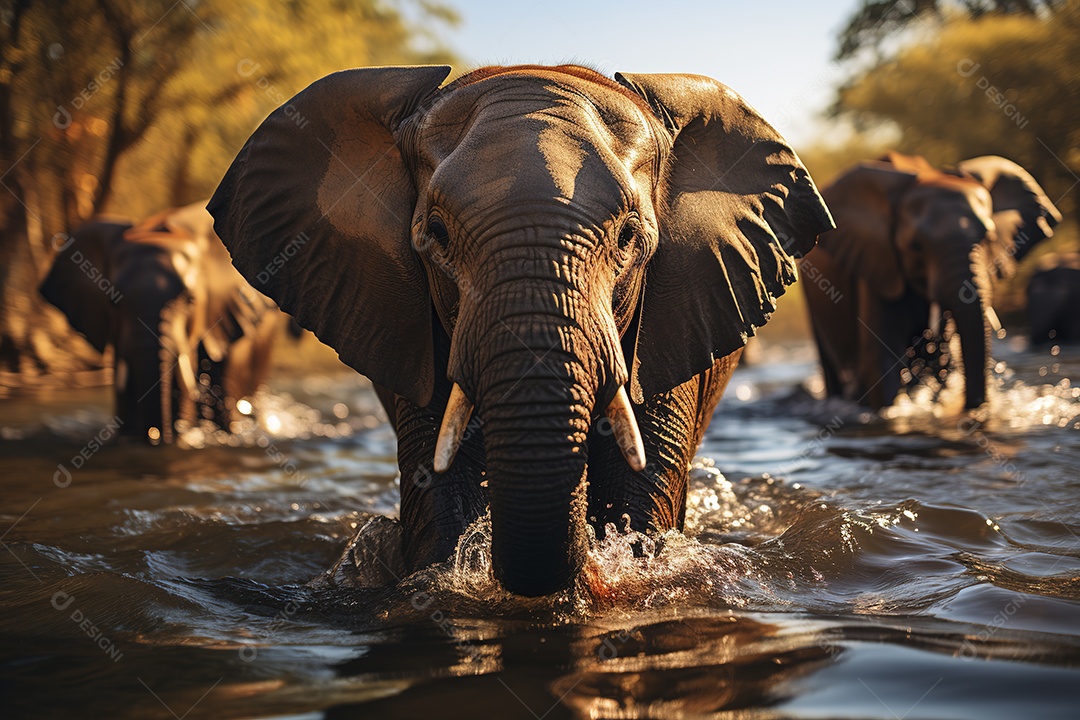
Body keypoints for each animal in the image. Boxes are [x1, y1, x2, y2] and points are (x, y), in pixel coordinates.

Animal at [803, 152, 1062, 410]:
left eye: (989, 238)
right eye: (915, 246)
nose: (971, 408)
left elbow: (945, 357)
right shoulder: (879, 266)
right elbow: (881, 358)